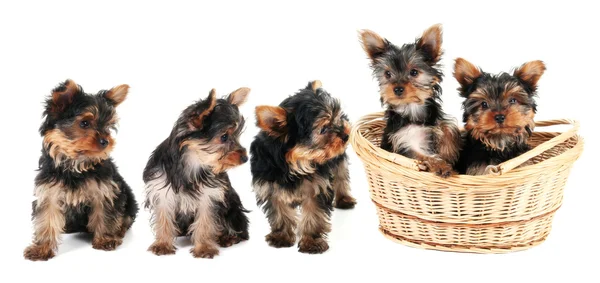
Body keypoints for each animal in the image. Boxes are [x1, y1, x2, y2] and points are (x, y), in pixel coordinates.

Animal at [23, 80, 138, 262]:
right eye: (85, 123)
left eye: (108, 126)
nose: (106, 141)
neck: (76, 164)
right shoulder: (49, 192)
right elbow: (46, 219)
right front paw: (41, 249)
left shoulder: (105, 190)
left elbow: (105, 213)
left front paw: (105, 239)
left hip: (128, 197)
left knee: (126, 216)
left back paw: (119, 230)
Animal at [144, 87, 251, 258]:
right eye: (224, 137)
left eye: (237, 136)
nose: (245, 158)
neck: (193, 161)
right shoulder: (160, 189)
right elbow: (164, 217)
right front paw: (163, 244)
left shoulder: (210, 195)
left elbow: (206, 221)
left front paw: (204, 248)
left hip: (233, 208)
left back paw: (228, 237)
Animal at [250, 80, 354, 255]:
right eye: (323, 129)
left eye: (336, 119)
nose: (346, 135)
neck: (296, 163)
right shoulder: (270, 187)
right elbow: (280, 213)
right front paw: (282, 236)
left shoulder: (317, 187)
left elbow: (313, 215)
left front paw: (311, 242)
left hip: (338, 158)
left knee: (341, 174)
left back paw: (344, 198)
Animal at [358, 25, 462, 179]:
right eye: (387, 74)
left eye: (414, 72)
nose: (397, 89)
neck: (411, 107)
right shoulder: (404, 143)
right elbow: (423, 155)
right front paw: (441, 165)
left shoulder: (436, 119)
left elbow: (448, 127)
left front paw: (448, 154)